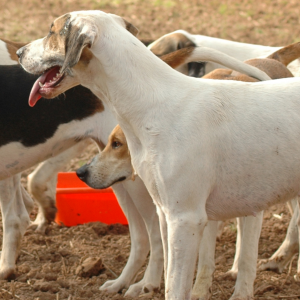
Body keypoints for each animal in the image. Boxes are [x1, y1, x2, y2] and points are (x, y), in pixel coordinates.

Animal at [18, 9, 300, 300]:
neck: (154, 103)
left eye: (51, 31)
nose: (18, 52)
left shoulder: (185, 220)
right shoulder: (166, 215)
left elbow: (175, 285)